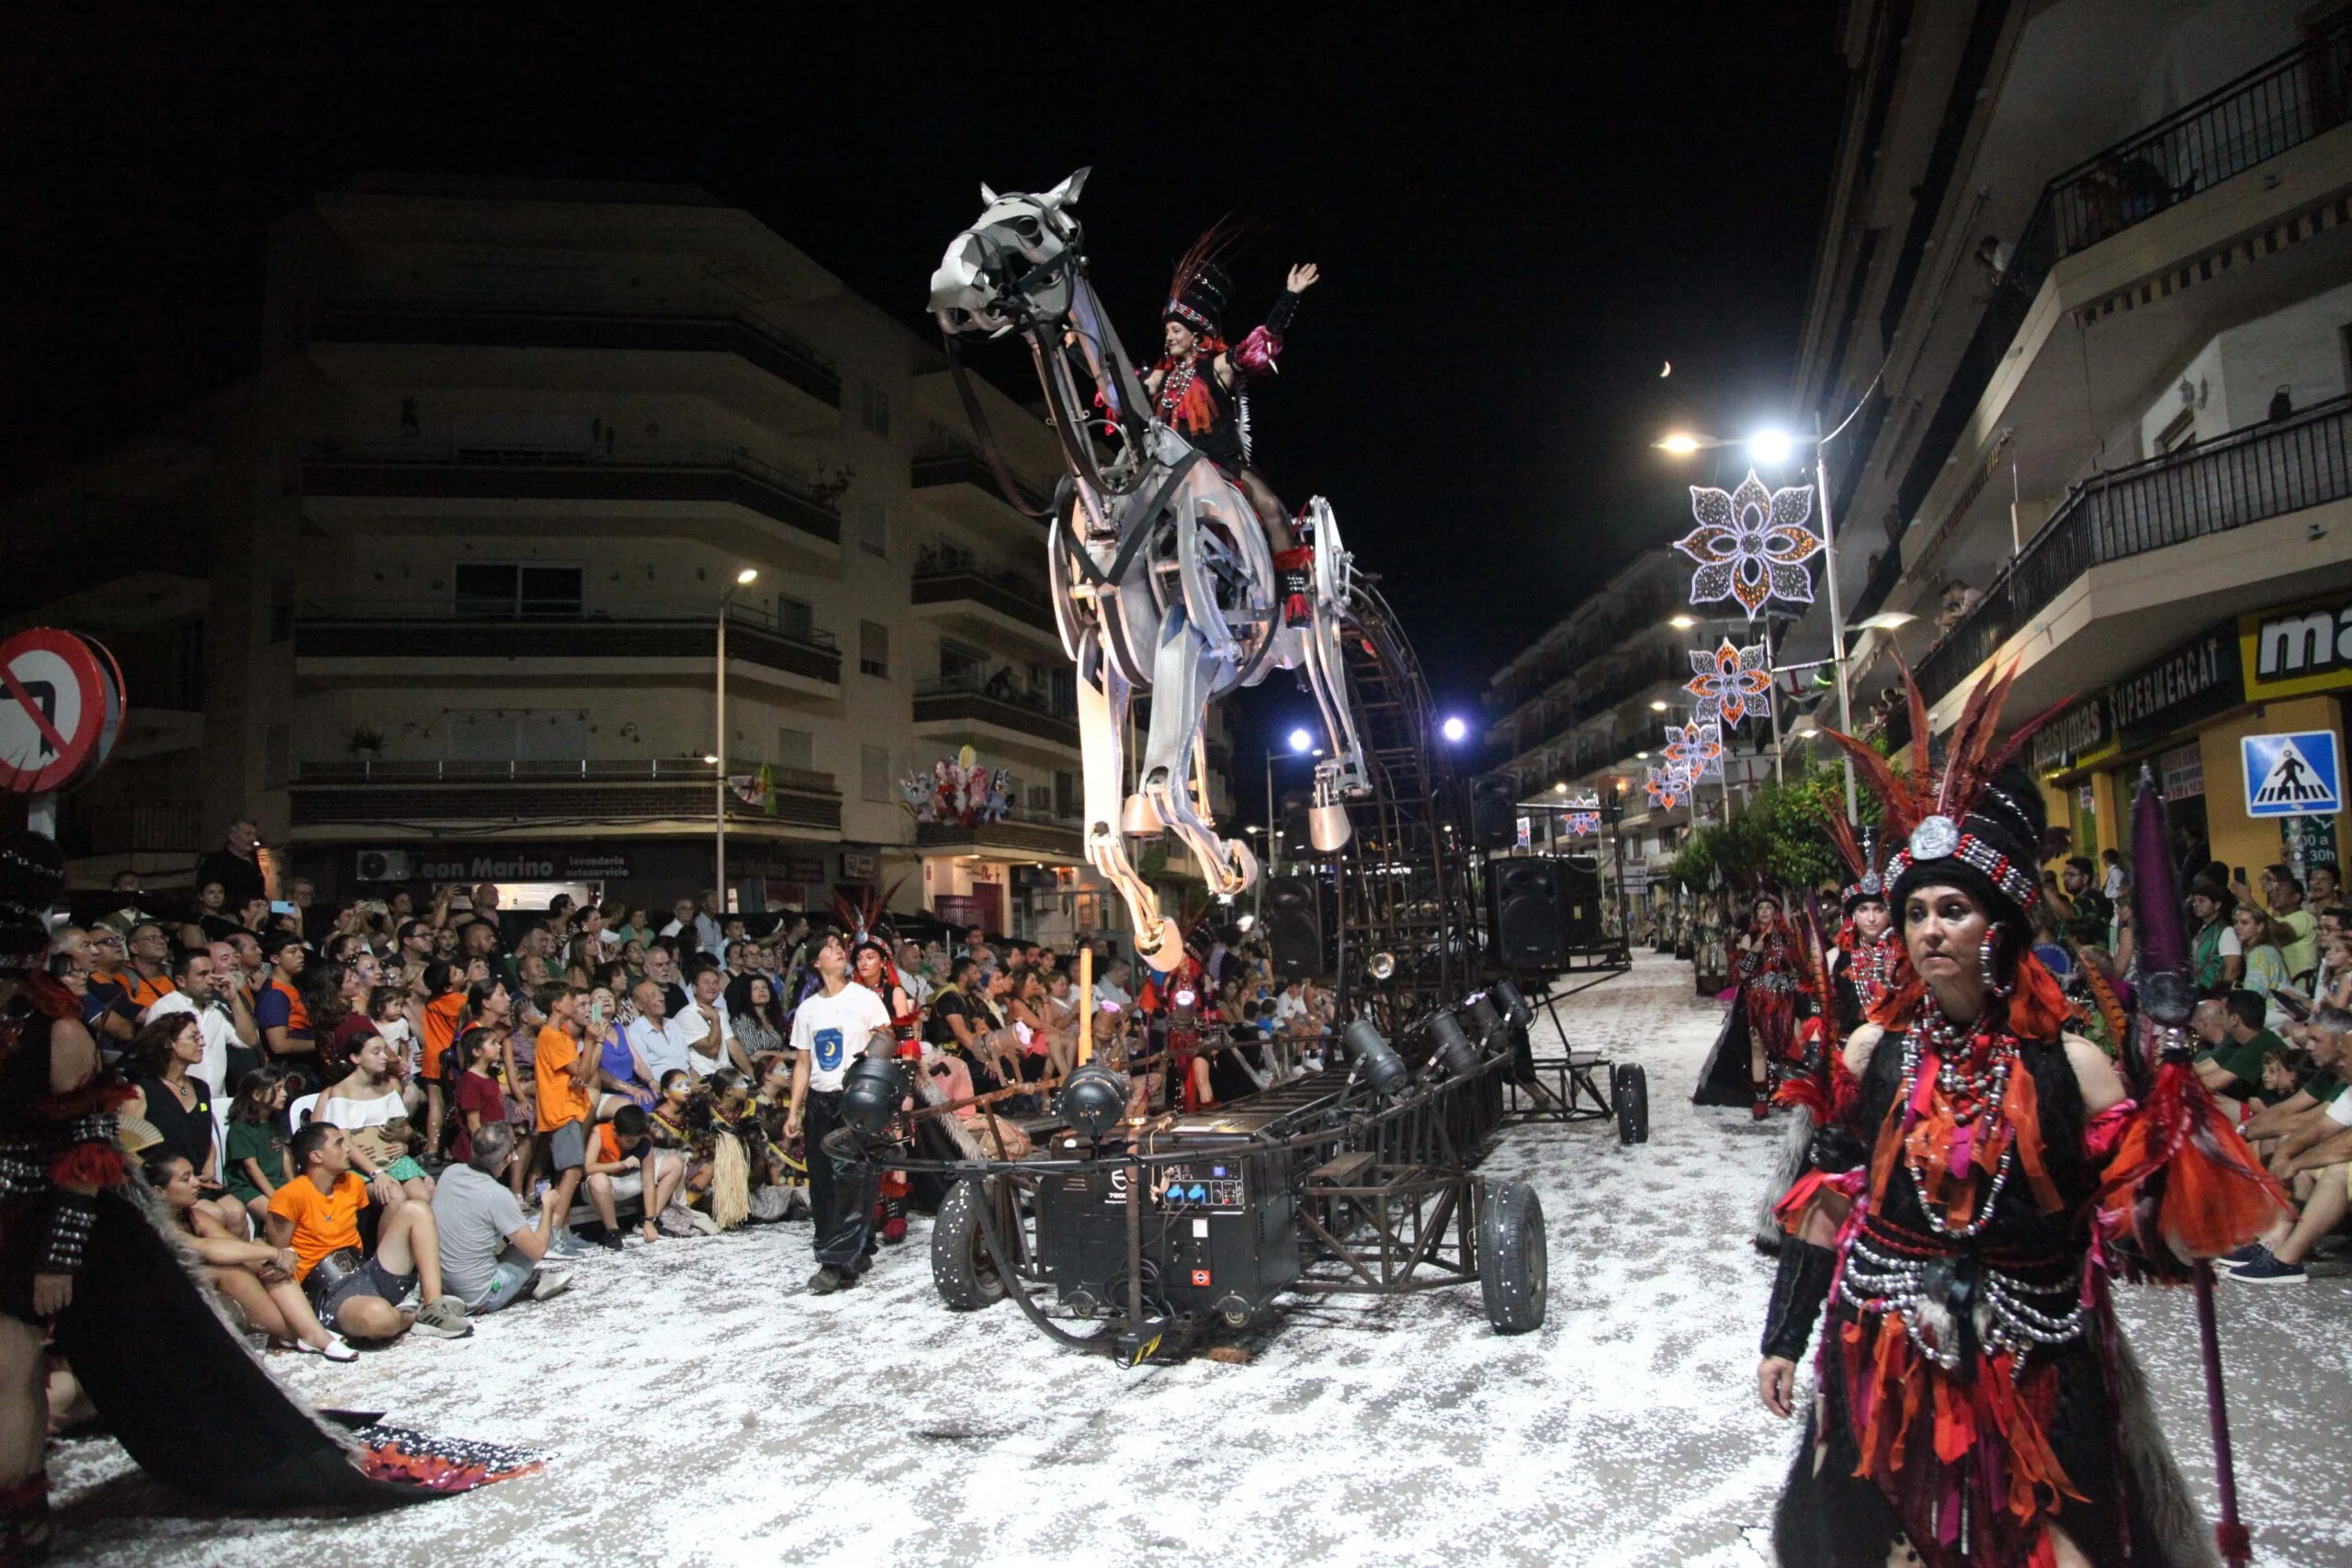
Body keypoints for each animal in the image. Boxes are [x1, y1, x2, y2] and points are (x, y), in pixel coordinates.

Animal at [935, 171, 1374, 968]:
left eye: (1034, 226)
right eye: (982, 219)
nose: (950, 285)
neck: (1114, 496)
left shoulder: (1192, 636)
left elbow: (1165, 785)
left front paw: (1234, 870)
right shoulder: (1101, 660)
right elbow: (1103, 827)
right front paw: (1156, 933)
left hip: (1312, 625)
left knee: (1334, 703)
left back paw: (1338, 787)